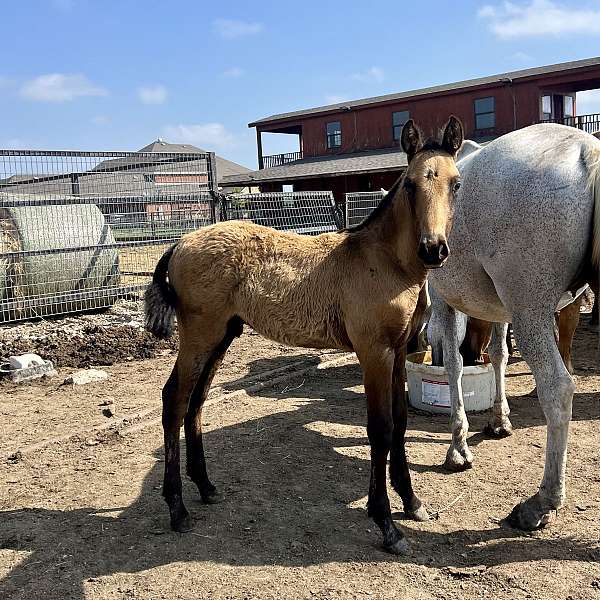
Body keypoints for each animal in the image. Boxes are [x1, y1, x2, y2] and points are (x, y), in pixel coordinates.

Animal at [426, 123, 600, 528]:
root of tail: (588, 153)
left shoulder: (444, 301)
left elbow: (455, 365)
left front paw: (458, 446)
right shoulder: (498, 313)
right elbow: (498, 355)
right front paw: (499, 419)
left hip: (530, 313)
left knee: (558, 388)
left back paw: (543, 501)